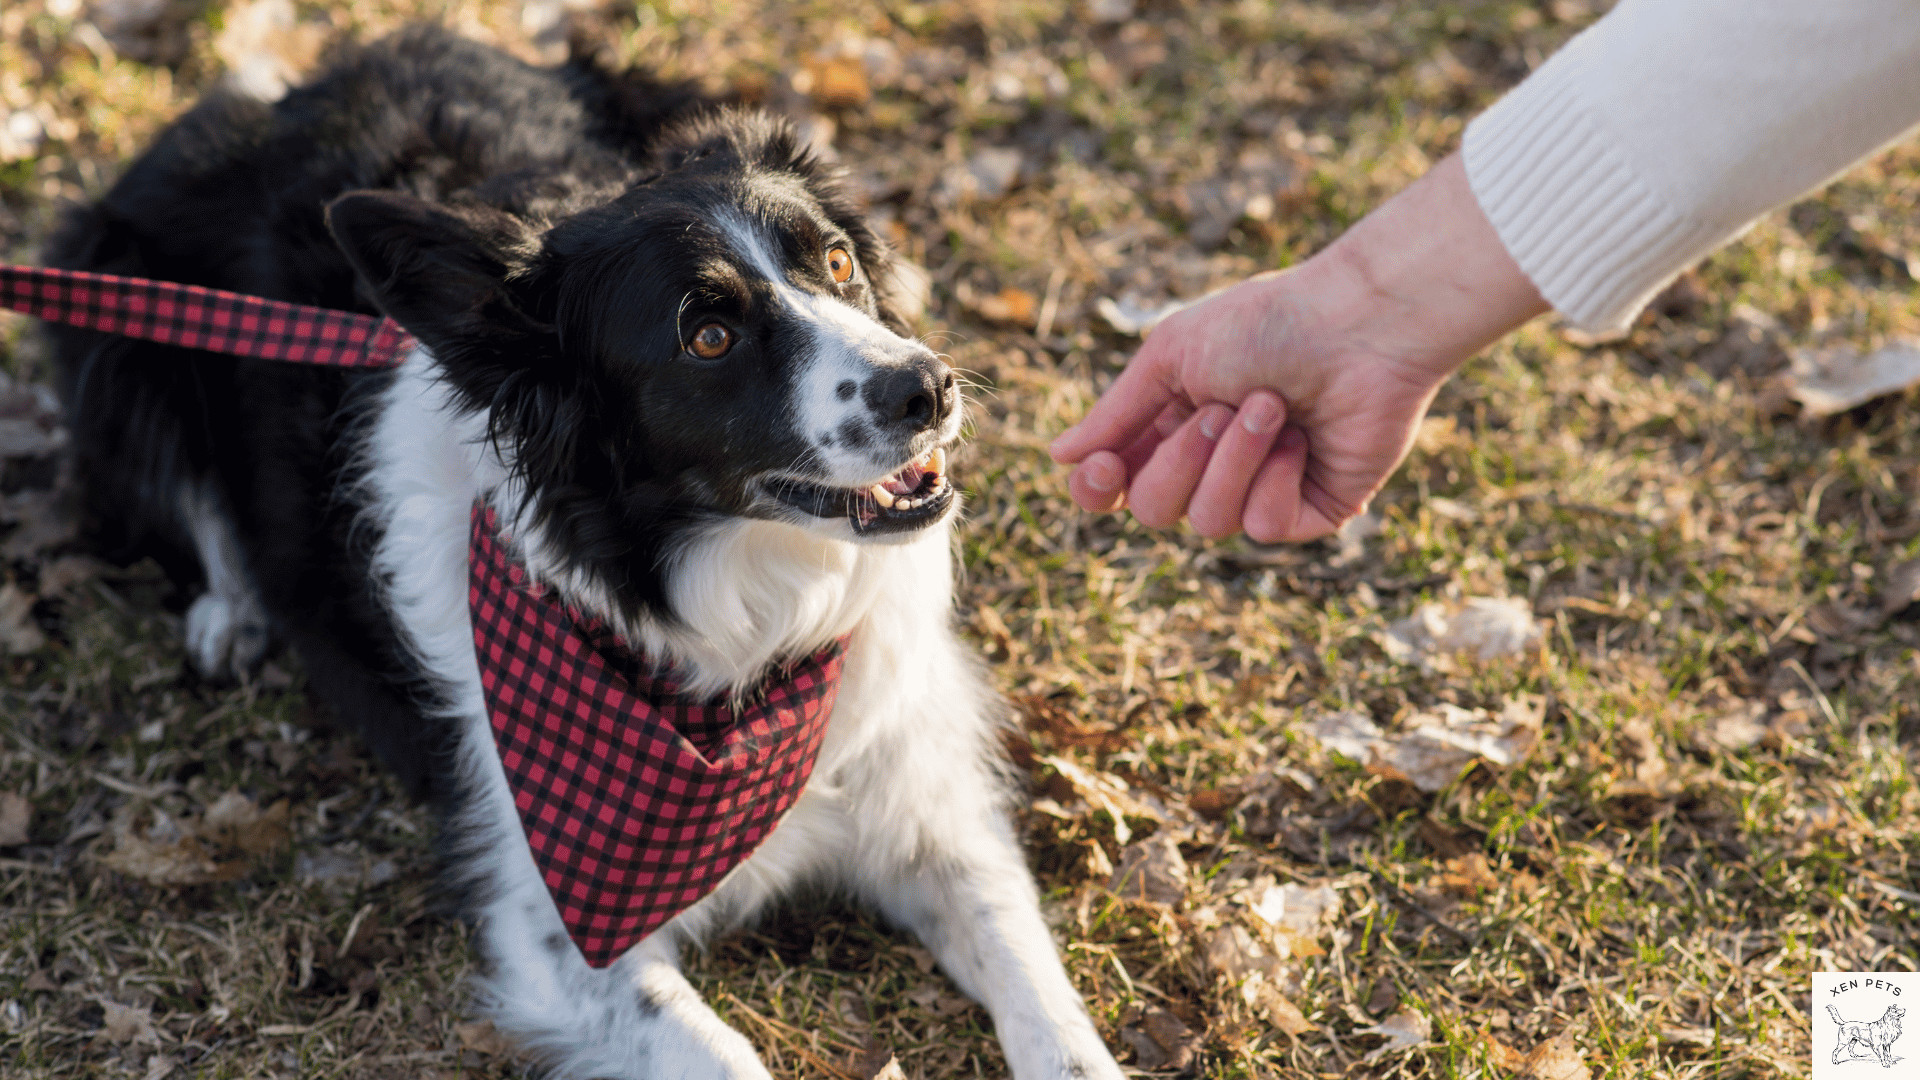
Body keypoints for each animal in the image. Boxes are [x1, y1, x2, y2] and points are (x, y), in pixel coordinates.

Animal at [45, 25, 1128, 1076]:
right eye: (707, 336)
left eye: (834, 263)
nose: (928, 387)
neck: (747, 632)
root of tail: (297, 87)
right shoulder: (555, 930)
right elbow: (724, 1056)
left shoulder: (931, 815)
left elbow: (1048, 1010)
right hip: (111, 308)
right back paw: (231, 613)